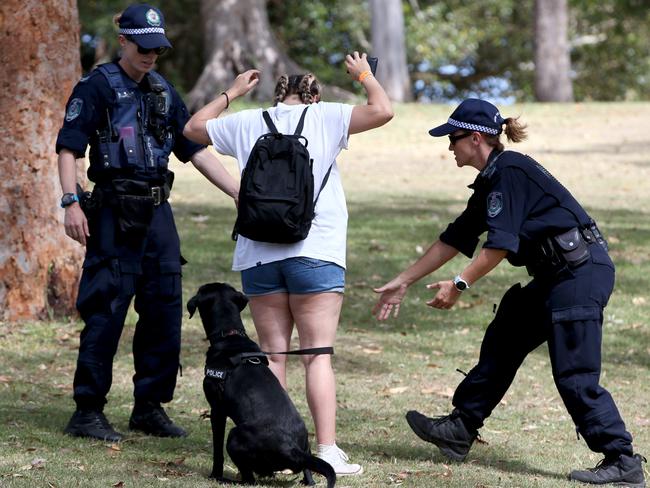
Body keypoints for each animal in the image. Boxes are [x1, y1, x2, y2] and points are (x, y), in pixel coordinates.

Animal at [184, 284, 332, 486]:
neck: (229, 336)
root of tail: (292, 449)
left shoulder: (217, 409)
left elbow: (217, 450)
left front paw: (215, 474)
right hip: (306, 446)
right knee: (309, 476)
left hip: (234, 436)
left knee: (249, 479)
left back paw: (228, 480)